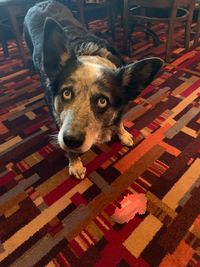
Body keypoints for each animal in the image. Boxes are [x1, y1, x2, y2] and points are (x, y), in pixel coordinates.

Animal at [23, 1, 163, 180]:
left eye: (102, 101)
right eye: (66, 93)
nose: (71, 140)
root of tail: (40, 3)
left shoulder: (120, 106)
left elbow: (119, 122)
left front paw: (123, 134)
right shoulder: (57, 117)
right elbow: (69, 149)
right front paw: (75, 163)